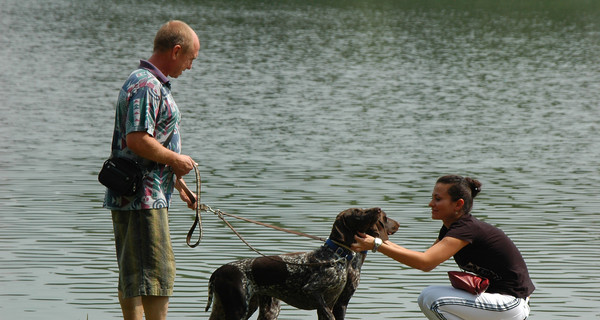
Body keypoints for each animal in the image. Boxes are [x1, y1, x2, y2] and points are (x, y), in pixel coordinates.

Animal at [205, 208, 398, 320]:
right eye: (358, 212)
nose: (379, 209)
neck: (337, 255)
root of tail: (218, 271)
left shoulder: (333, 302)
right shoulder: (316, 293)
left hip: (247, 308)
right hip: (239, 309)